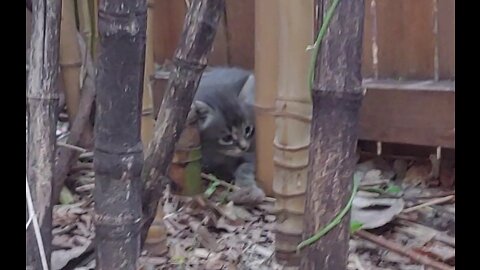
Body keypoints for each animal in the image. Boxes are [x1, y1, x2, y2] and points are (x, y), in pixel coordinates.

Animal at [191, 67, 266, 205]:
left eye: (247, 129)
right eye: (227, 138)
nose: (243, 147)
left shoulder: (252, 151)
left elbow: (245, 167)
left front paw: (247, 191)